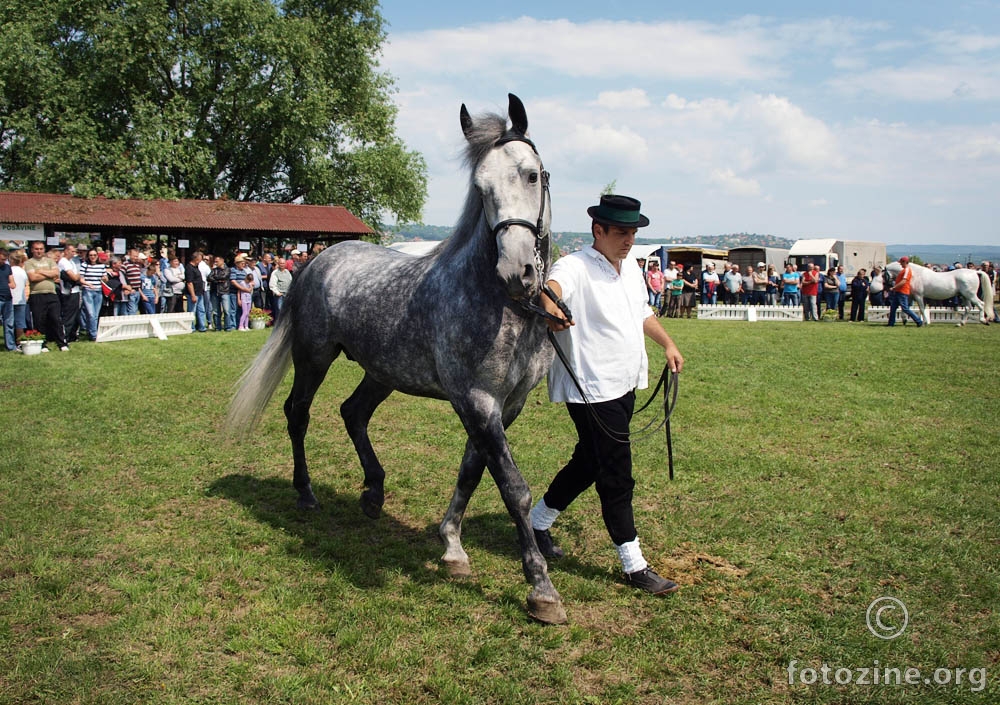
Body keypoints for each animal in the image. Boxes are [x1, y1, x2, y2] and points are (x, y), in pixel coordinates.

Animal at [229, 93, 572, 620]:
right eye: (480, 188)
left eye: (532, 175)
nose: (517, 272)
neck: (497, 303)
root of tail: (316, 261)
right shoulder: (476, 401)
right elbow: (513, 487)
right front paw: (541, 589)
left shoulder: (503, 405)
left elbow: (473, 470)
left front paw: (452, 547)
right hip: (314, 358)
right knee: (298, 413)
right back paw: (306, 494)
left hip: (381, 372)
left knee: (353, 413)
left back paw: (373, 492)